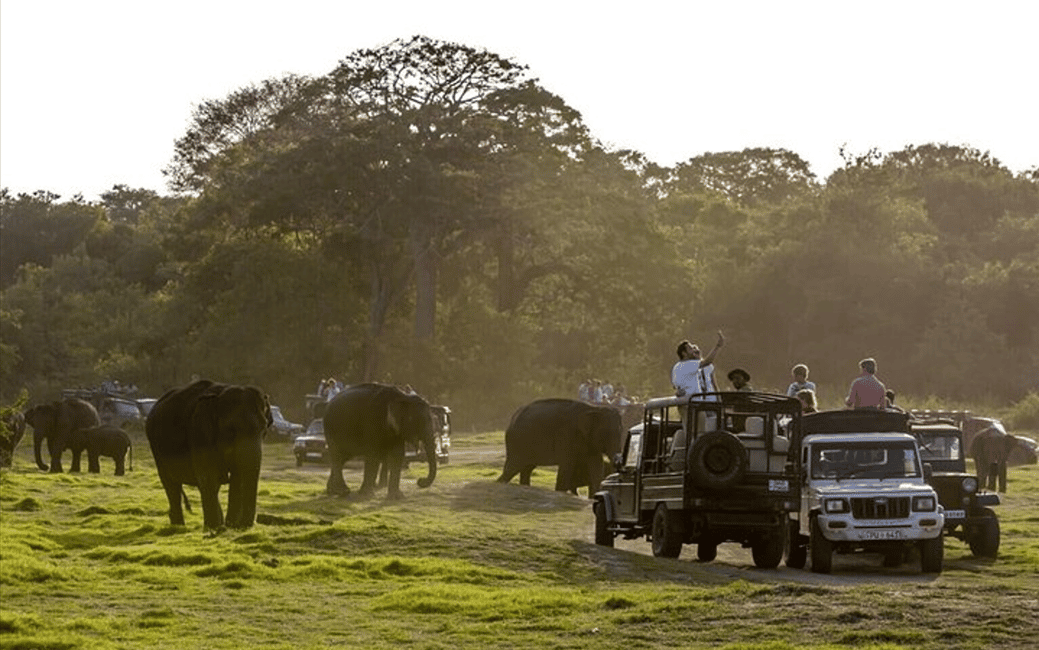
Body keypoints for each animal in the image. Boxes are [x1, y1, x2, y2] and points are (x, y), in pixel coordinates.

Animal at [146, 379, 272, 531]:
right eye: (230, 430)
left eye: (264, 429)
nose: (242, 526)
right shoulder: (199, 434)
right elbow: (208, 475)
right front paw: (215, 528)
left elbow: (237, 477)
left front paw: (228, 525)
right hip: (156, 449)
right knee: (170, 484)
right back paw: (180, 526)